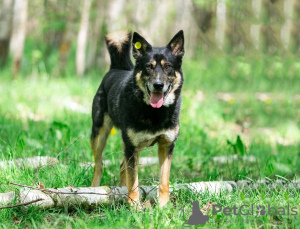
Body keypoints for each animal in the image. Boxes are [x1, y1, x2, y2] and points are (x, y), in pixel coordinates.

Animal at [91, 30, 185, 208]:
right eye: (149, 66)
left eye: (168, 67)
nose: (158, 85)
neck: (154, 112)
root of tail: (116, 68)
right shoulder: (132, 148)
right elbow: (133, 181)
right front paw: (134, 206)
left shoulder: (167, 146)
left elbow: (164, 181)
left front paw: (163, 207)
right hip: (99, 135)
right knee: (99, 165)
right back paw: (93, 190)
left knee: (122, 166)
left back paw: (120, 190)